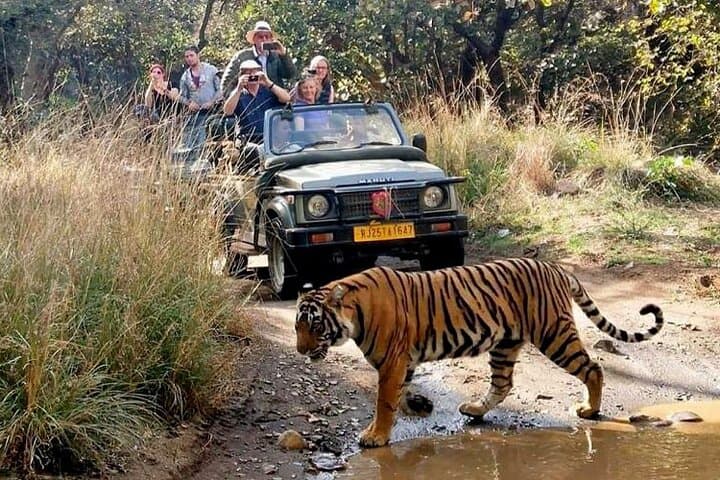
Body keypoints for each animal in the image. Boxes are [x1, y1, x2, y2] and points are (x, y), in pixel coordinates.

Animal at [294, 258, 664, 448]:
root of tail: (555, 267)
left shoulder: (393, 361)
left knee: (593, 368)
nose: (300, 350)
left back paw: (590, 410)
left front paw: (375, 436)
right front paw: (418, 406)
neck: (354, 314)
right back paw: (473, 409)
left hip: (554, 334)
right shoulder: (403, 361)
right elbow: (399, 394)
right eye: (297, 327)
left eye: (314, 325)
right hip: (506, 344)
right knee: (502, 384)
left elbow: (384, 401)